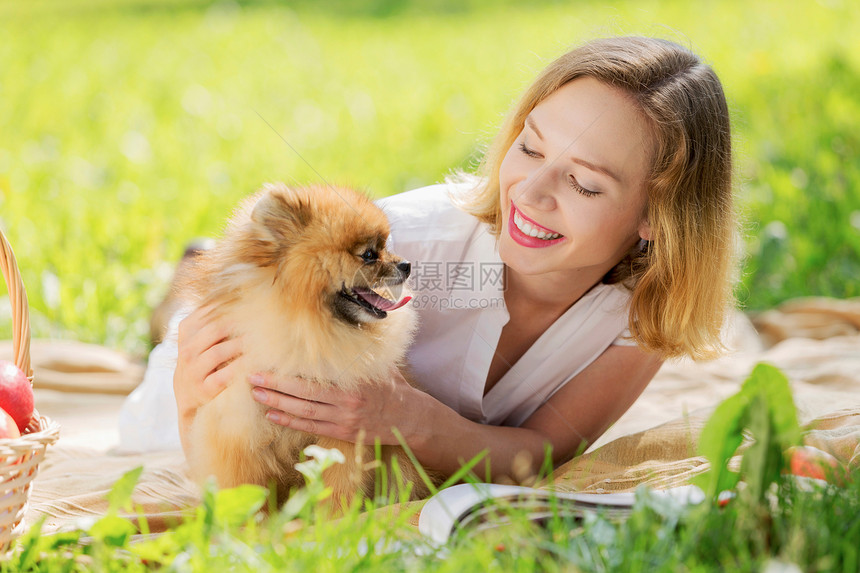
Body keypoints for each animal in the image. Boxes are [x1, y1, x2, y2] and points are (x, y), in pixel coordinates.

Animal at [184, 182, 434, 504]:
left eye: (386, 246)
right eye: (369, 254)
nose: (406, 264)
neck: (306, 332)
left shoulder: (341, 432)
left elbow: (335, 490)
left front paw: (334, 517)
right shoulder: (237, 432)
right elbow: (246, 493)